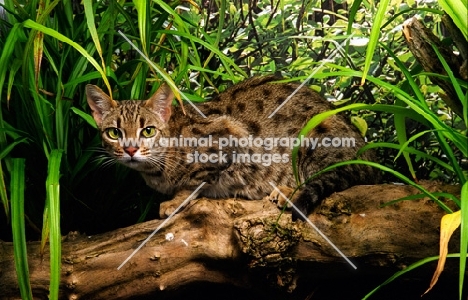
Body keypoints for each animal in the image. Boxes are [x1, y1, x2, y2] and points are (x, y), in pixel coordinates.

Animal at [86, 75, 380, 220]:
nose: (130, 149)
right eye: (114, 133)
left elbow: (195, 182)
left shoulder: (232, 136)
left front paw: (176, 200)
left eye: (147, 130)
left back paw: (286, 191)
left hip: (317, 138)